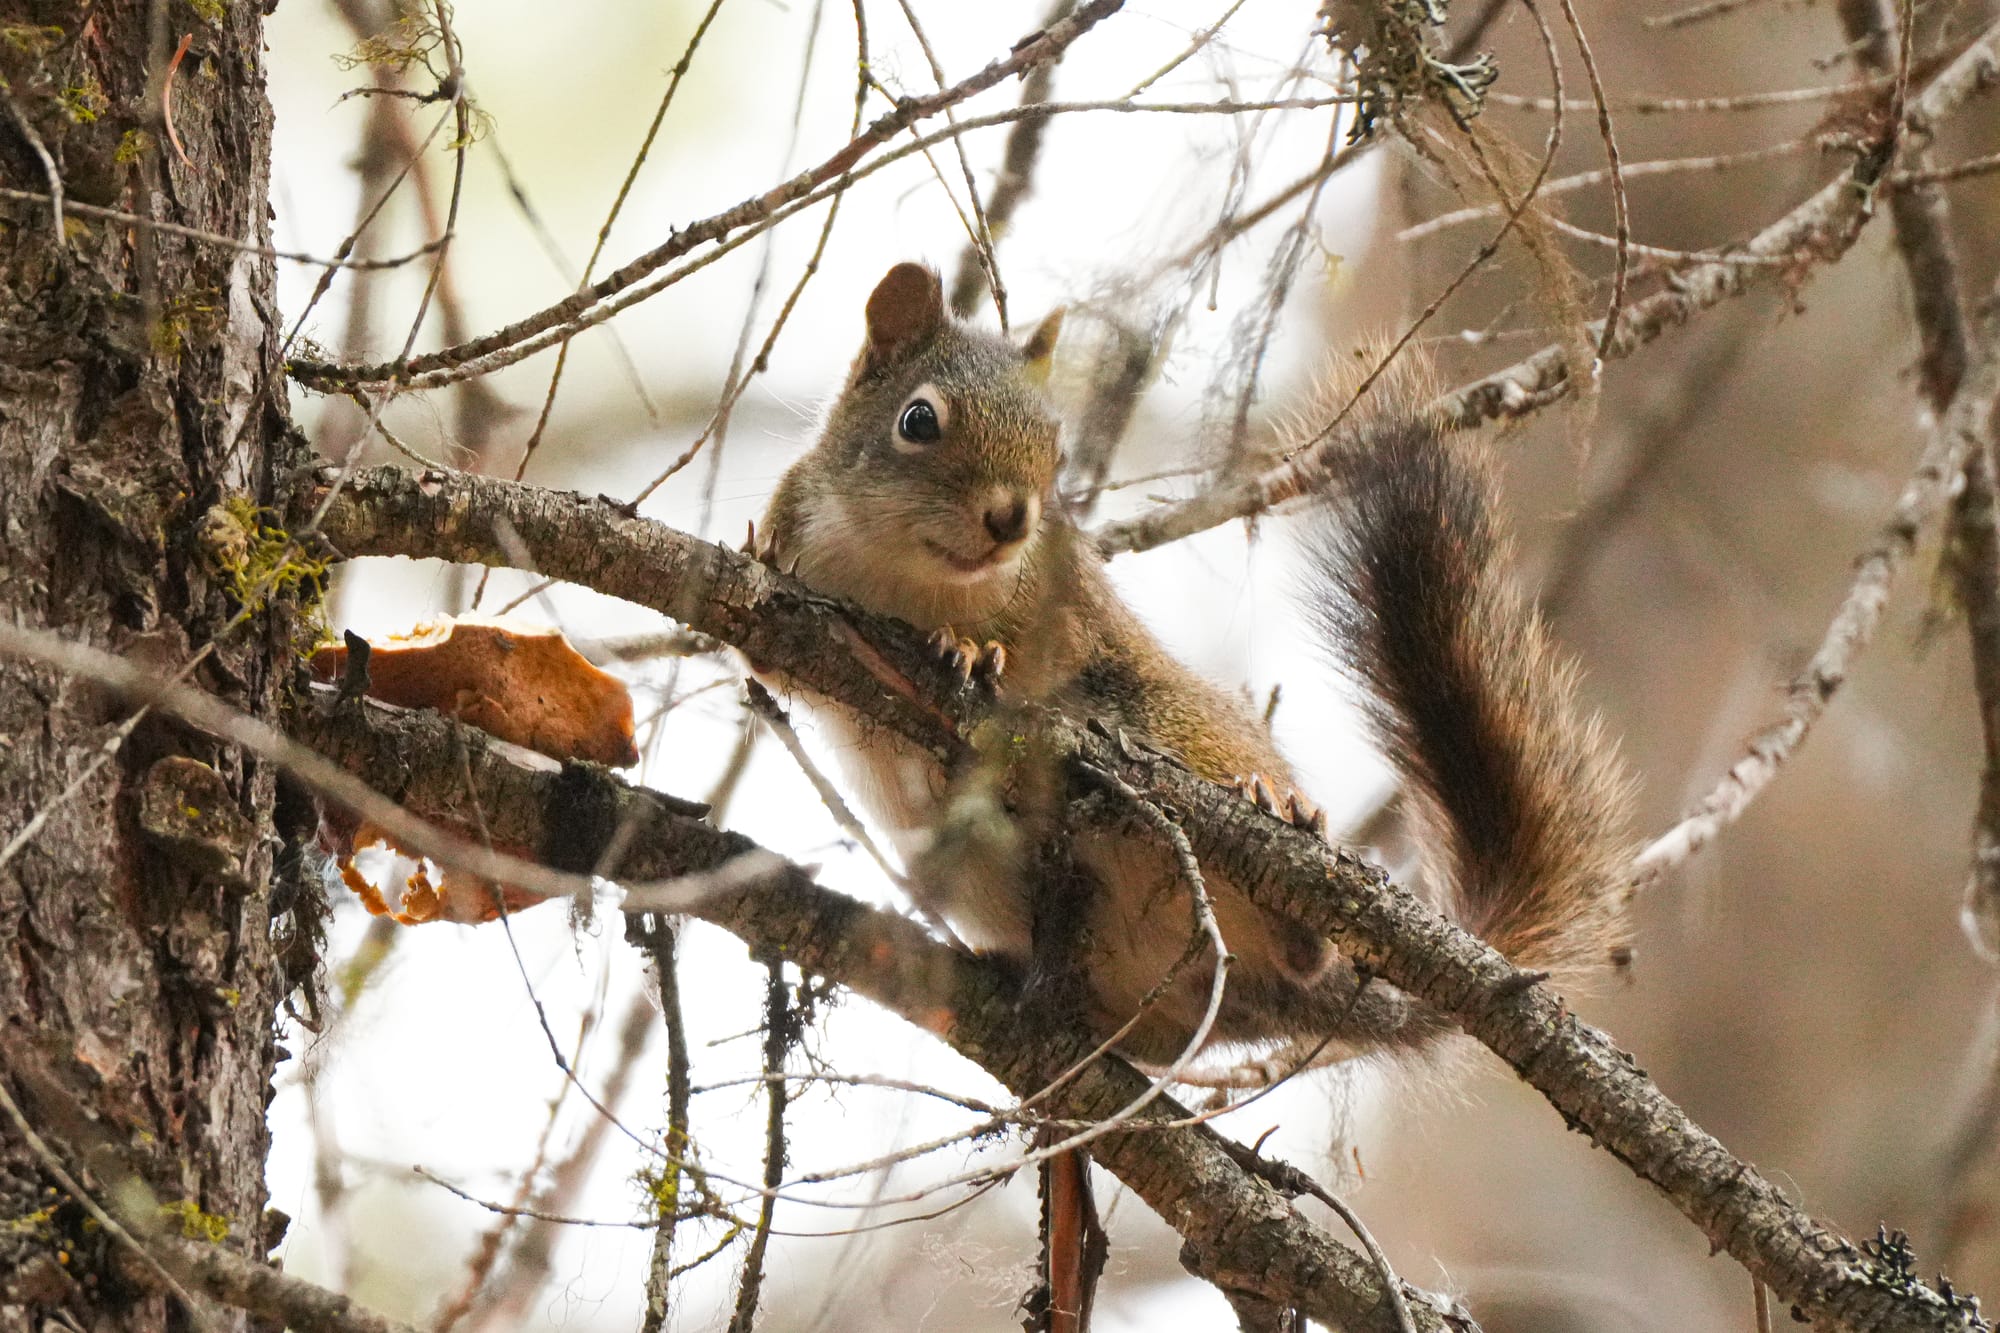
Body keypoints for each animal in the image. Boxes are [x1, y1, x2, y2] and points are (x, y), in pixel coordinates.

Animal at [751, 261, 1633, 1065]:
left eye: (1056, 445)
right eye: (919, 420)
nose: (1011, 519)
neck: (907, 574)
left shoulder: (1066, 610)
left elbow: (1036, 655)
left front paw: (971, 650)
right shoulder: (802, 566)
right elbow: (777, 668)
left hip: (1183, 732)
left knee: (1300, 941)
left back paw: (1284, 824)